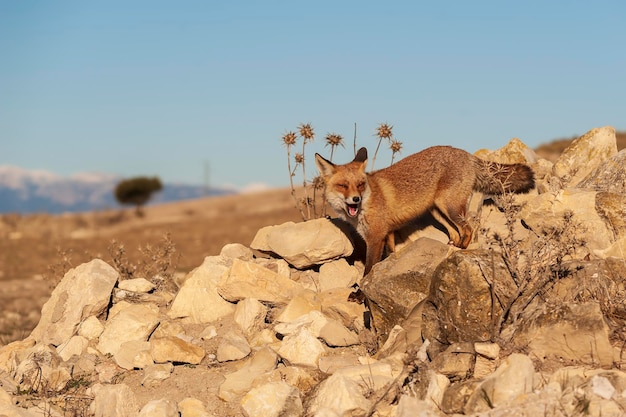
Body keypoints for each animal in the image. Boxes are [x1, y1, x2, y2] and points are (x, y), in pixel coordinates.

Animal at [314, 145, 532, 274]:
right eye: (343, 186)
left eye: (360, 185)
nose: (356, 199)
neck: (367, 203)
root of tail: (467, 154)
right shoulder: (388, 232)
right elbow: (390, 254)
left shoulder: (375, 238)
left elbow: (369, 268)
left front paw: (360, 295)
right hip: (437, 211)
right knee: (455, 231)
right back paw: (453, 245)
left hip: (450, 207)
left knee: (469, 229)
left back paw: (462, 248)